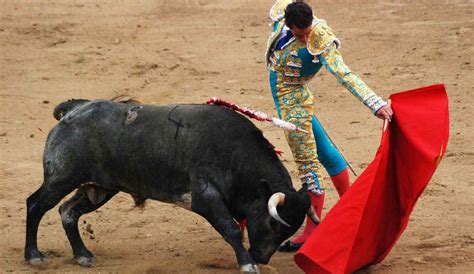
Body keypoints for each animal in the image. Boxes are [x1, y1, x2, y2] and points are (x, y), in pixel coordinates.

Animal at [23, 99, 318, 272]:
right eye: (273, 224)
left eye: (288, 230)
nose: (261, 258)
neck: (236, 155)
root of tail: (72, 111)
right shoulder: (205, 197)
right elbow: (232, 230)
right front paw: (246, 264)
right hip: (61, 178)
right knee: (36, 204)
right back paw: (34, 256)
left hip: (98, 188)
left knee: (67, 211)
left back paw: (83, 255)